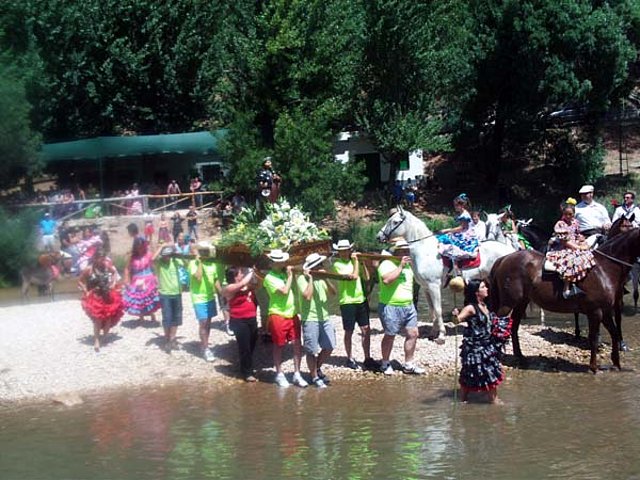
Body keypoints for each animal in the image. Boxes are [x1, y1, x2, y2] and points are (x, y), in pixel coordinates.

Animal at [376, 206, 516, 342]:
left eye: (395, 222)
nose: (378, 237)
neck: (425, 251)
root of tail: (511, 251)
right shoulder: (426, 288)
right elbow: (432, 311)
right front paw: (433, 333)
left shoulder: (434, 286)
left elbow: (438, 310)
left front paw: (441, 335)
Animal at [490, 227, 640, 374]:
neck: (604, 268)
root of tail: (504, 258)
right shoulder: (595, 312)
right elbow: (594, 338)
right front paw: (594, 367)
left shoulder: (606, 311)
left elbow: (614, 334)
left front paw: (616, 364)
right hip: (507, 303)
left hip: (521, 302)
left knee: (513, 326)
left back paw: (520, 356)